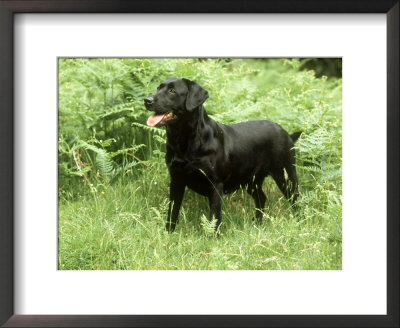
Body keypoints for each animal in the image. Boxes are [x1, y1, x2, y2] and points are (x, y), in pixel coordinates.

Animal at [145, 78, 300, 232]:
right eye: (158, 88)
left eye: (172, 90)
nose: (147, 100)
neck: (185, 141)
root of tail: (286, 132)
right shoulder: (176, 180)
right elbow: (173, 211)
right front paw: (169, 233)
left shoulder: (215, 185)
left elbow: (214, 217)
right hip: (251, 180)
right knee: (261, 198)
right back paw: (257, 224)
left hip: (285, 175)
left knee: (295, 199)